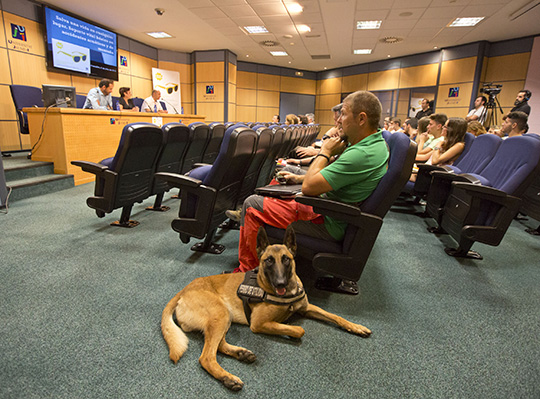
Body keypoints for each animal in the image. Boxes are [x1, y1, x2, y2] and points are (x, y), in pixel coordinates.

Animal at [161, 227, 372, 392]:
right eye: (268, 260)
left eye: (286, 259)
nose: (280, 283)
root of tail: (182, 291)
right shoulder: (258, 323)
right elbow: (299, 329)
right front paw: (290, 328)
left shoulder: (307, 308)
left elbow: (335, 316)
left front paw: (356, 327)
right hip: (220, 314)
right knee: (206, 357)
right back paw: (228, 378)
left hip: (223, 318)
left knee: (217, 345)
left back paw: (241, 354)